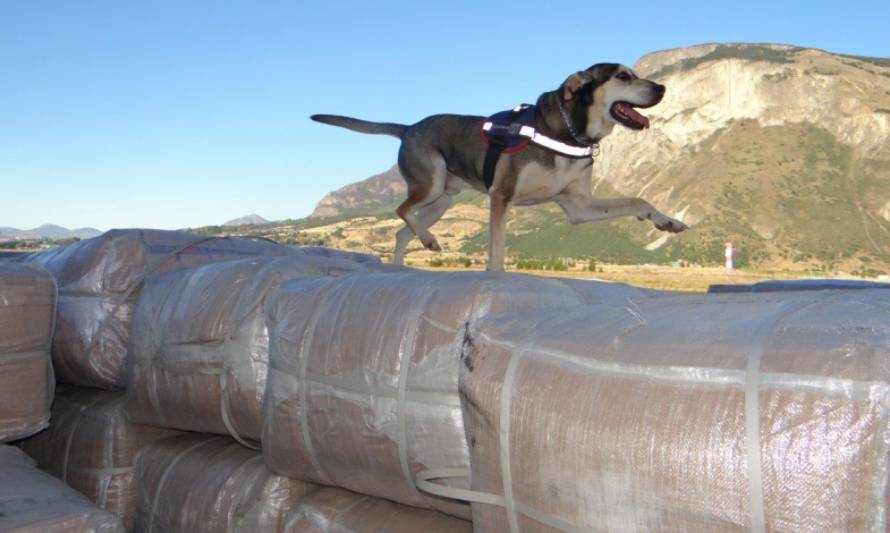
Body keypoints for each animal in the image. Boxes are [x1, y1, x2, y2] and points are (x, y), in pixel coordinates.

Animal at [312, 62, 688, 270]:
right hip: (430, 185)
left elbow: (636, 201)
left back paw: (408, 261)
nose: (662, 87)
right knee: (400, 210)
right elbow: (496, 254)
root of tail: (408, 128)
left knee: (401, 230)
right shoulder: (501, 196)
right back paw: (429, 241)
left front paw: (665, 220)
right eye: (623, 75)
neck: (567, 133)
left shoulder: (577, 206)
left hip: (440, 201)